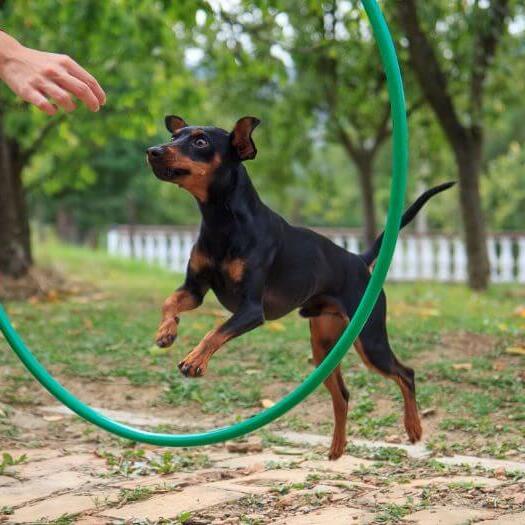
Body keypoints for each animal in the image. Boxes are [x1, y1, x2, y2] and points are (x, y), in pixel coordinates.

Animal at [145, 116, 452, 460]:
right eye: (175, 136)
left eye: (200, 142)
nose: (153, 150)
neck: (222, 222)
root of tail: (359, 260)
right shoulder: (195, 289)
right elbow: (170, 302)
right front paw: (166, 332)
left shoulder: (251, 310)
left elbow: (215, 331)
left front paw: (195, 360)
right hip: (324, 348)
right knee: (343, 395)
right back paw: (337, 447)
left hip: (369, 341)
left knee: (405, 373)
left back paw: (413, 428)